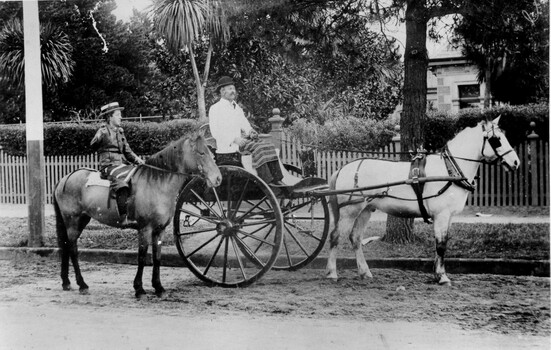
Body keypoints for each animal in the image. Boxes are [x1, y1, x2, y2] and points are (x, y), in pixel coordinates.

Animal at [53, 133, 222, 296]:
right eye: (201, 153)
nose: (218, 178)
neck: (157, 184)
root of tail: (65, 178)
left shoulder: (159, 230)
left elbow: (157, 257)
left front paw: (158, 287)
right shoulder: (145, 229)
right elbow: (142, 257)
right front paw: (139, 289)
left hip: (82, 219)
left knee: (66, 246)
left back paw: (66, 282)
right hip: (72, 221)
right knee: (73, 249)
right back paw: (82, 284)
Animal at [326, 116, 520, 286]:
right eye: (496, 139)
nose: (516, 163)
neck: (449, 169)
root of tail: (343, 168)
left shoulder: (448, 217)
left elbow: (441, 243)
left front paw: (437, 273)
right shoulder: (441, 215)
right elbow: (441, 245)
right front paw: (442, 277)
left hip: (365, 210)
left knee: (355, 238)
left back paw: (364, 272)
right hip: (350, 211)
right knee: (336, 236)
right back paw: (332, 273)